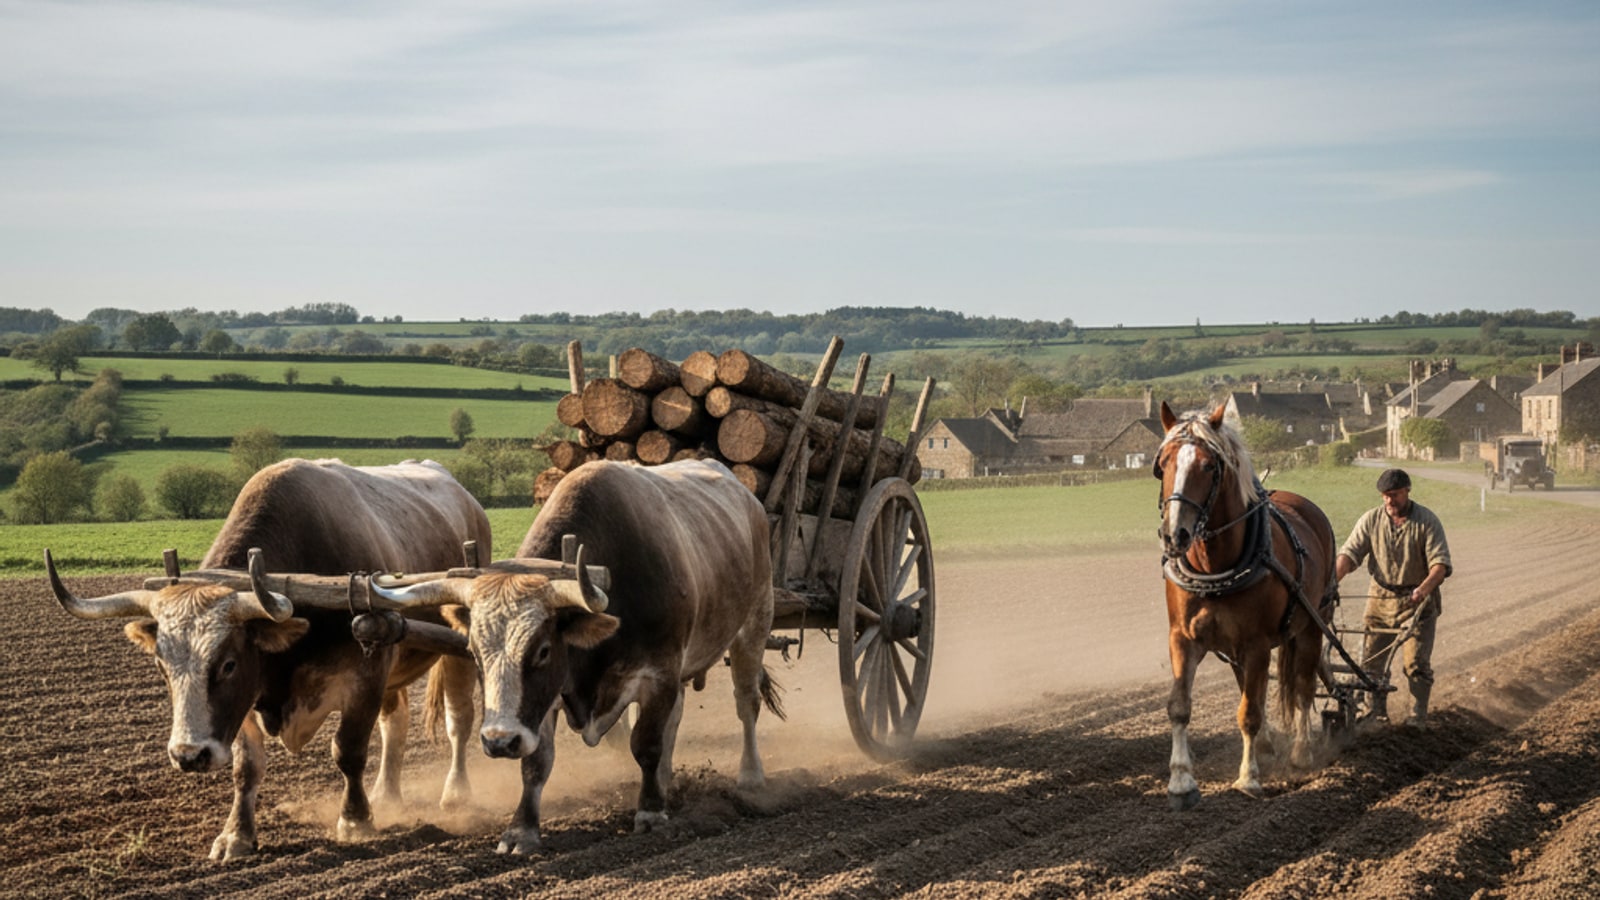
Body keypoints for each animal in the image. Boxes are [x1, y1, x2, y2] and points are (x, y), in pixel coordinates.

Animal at [1153, 401, 1337, 810]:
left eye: (1210, 466)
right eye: (1164, 463)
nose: (1175, 535)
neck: (1215, 569)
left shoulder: (1256, 645)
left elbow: (1250, 712)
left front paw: (1248, 779)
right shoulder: (1181, 640)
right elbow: (1180, 706)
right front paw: (1181, 783)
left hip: (1311, 625)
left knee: (1303, 686)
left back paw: (1301, 751)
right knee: (1252, 688)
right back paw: (1268, 745)